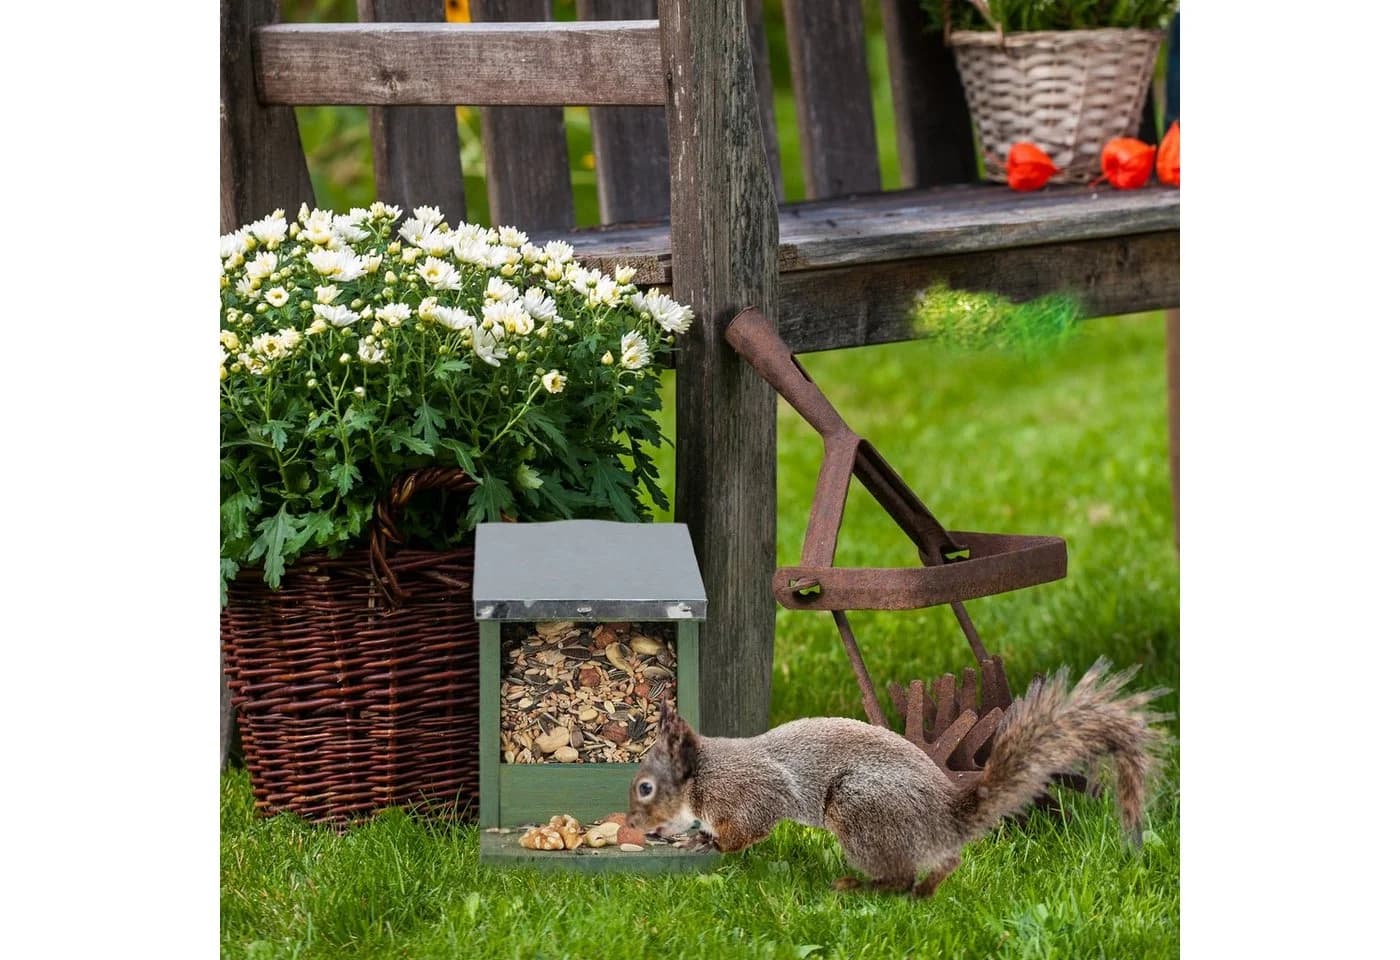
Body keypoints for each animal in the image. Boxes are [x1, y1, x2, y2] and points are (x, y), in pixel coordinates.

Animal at [627, 658, 1167, 898]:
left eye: (645, 787)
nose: (632, 825)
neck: (705, 773)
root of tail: (947, 817)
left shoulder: (749, 791)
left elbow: (748, 827)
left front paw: (711, 843)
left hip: (860, 809)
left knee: (900, 874)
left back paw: (862, 887)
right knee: (942, 864)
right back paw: (929, 889)